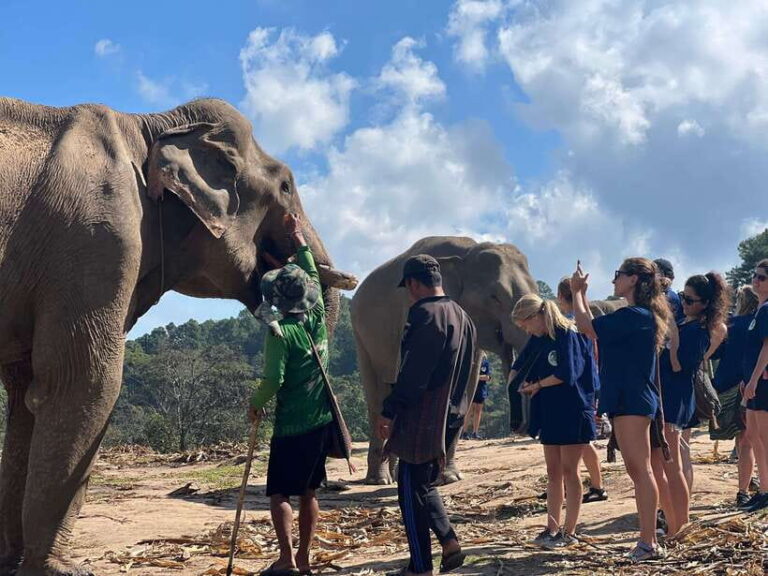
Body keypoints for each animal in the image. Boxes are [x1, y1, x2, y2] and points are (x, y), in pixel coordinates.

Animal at [0, 97, 355, 576]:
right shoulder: (95, 241)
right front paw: (58, 570)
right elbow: (81, 383)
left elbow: (25, 396)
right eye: (285, 185)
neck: (151, 126)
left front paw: (15, 563)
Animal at [351, 236, 537, 485]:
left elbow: (467, 383)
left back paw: (396, 475)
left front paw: (450, 477)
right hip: (363, 336)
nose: (521, 427)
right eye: (495, 297)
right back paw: (380, 480)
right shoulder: (409, 311)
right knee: (378, 395)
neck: (467, 252)